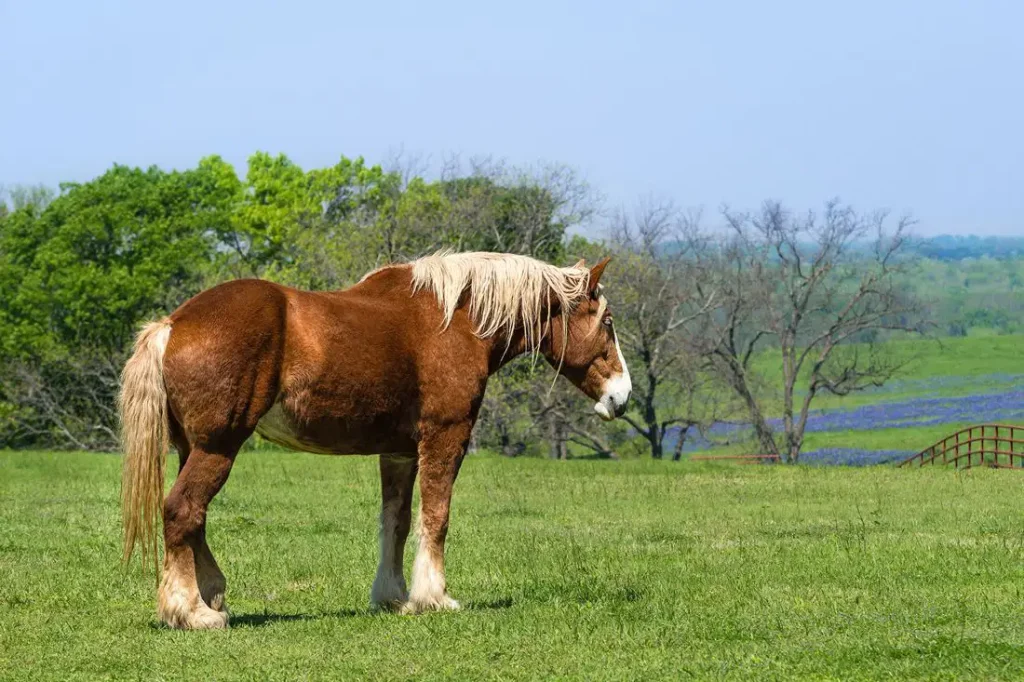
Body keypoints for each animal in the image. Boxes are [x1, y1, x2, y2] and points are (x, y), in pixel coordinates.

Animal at [119, 248, 630, 626]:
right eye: (606, 322)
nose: (621, 396)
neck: (457, 319)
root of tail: (172, 325)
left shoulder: (399, 452)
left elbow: (397, 521)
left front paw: (393, 596)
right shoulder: (446, 437)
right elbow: (436, 517)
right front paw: (434, 597)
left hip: (193, 448)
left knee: (194, 517)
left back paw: (210, 596)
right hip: (218, 447)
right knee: (182, 510)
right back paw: (191, 612)